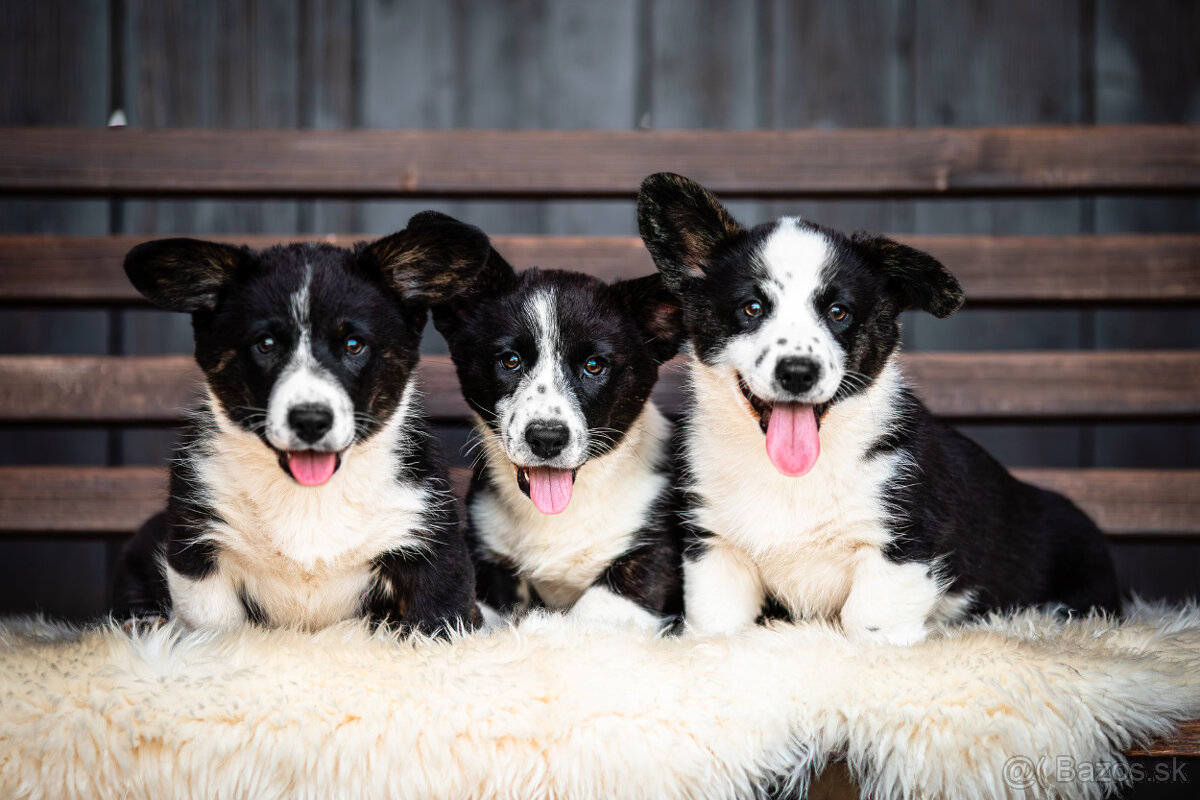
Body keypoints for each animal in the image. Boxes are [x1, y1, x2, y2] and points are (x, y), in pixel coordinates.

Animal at [110, 217, 489, 633]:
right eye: (266, 344)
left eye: (354, 344)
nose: (310, 420)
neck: (310, 497)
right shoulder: (199, 549)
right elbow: (215, 626)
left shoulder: (430, 545)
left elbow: (437, 621)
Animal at [424, 214, 686, 633]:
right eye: (510, 360)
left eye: (594, 365)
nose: (547, 439)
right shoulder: (488, 567)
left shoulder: (649, 561)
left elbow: (583, 617)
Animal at [643, 173, 1118, 642]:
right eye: (752, 308)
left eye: (838, 312)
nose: (798, 372)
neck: (793, 477)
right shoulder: (716, 548)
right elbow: (716, 626)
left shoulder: (901, 546)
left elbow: (870, 624)